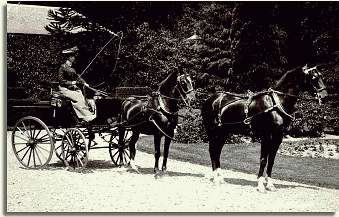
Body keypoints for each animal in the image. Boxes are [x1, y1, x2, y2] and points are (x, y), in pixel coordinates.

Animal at [202, 65, 330, 193]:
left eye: (321, 76)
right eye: (313, 77)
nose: (325, 97)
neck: (275, 104)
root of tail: (211, 99)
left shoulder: (278, 137)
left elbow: (271, 161)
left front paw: (270, 185)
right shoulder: (266, 135)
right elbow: (263, 159)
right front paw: (260, 185)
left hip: (223, 132)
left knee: (217, 151)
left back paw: (220, 177)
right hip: (213, 132)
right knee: (213, 151)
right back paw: (216, 179)